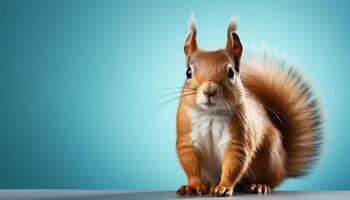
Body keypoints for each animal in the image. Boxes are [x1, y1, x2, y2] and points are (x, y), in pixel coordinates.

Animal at [175, 16, 322, 197]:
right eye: (188, 72)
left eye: (231, 72)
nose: (209, 90)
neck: (211, 114)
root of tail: (284, 165)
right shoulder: (187, 139)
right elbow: (191, 165)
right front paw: (193, 186)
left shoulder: (238, 140)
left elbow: (234, 164)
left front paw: (223, 187)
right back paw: (209, 186)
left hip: (268, 157)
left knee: (270, 180)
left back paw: (259, 185)